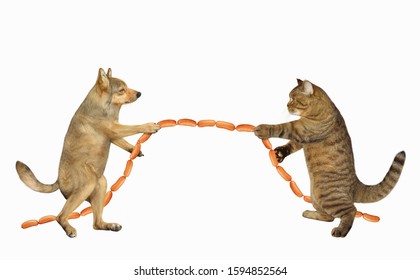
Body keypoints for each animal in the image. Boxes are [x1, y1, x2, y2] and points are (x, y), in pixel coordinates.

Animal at [15, 68, 159, 236]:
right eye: (122, 90)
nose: (140, 93)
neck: (104, 106)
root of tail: (58, 181)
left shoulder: (113, 135)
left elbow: (123, 142)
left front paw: (134, 150)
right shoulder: (114, 129)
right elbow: (134, 127)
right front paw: (149, 126)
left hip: (101, 183)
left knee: (96, 223)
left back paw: (109, 225)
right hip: (87, 184)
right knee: (60, 216)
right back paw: (69, 228)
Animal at [254, 80, 406, 237]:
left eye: (292, 98)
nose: (286, 105)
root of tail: (355, 183)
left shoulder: (300, 130)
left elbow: (281, 128)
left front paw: (263, 128)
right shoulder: (302, 138)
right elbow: (291, 145)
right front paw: (280, 153)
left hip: (327, 196)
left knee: (350, 210)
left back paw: (341, 230)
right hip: (315, 196)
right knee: (329, 217)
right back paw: (309, 213)